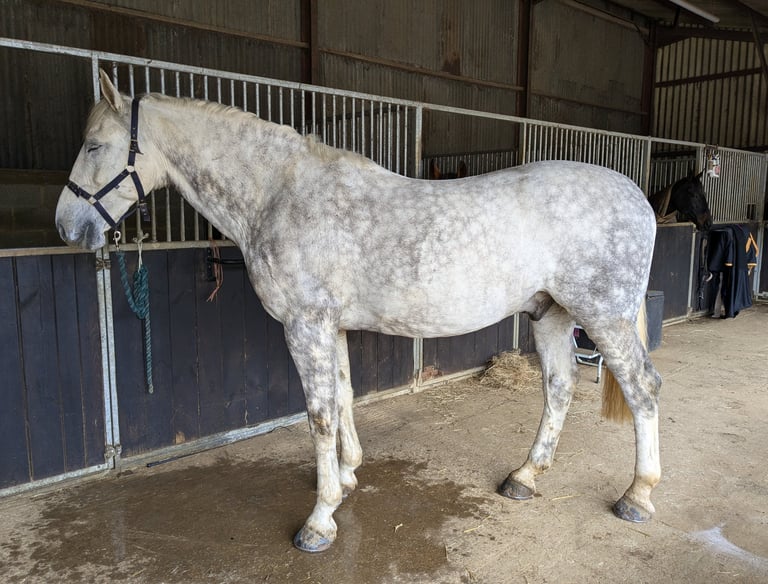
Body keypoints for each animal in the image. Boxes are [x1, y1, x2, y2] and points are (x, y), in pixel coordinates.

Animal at [56, 70, 662, 553]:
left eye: (94, 146)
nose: (66, 227)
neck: (276, 195)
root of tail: (637, 196)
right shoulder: (333, 326)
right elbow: (344, 397)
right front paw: (347, 478)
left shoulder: (305, 325)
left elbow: (320, 414)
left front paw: (320, 520)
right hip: (552, 315)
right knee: (559, 387)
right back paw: (525, 477)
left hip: (602, 316)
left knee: (642, 389)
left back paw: (637, 495)